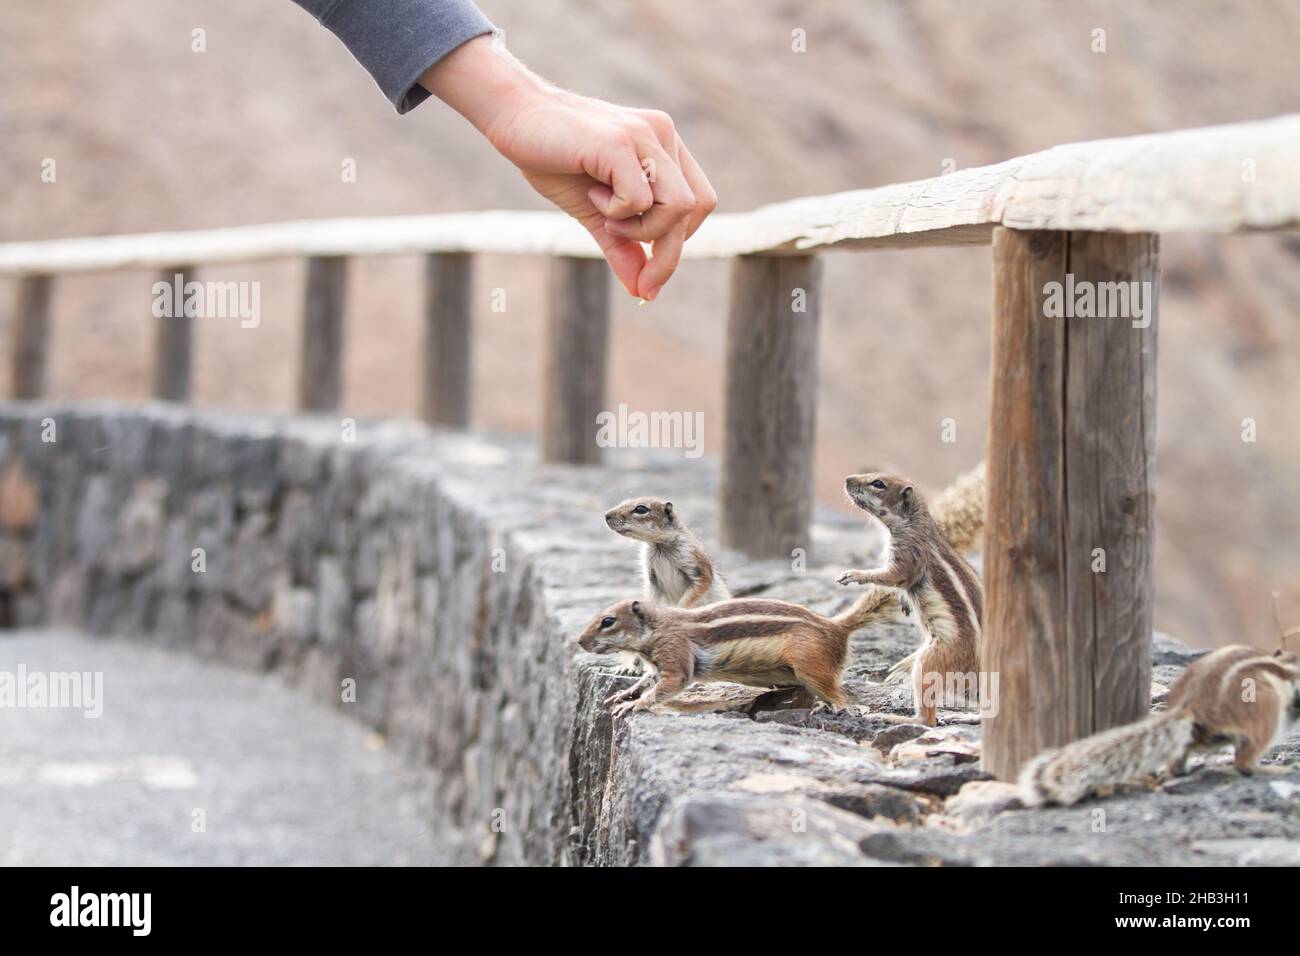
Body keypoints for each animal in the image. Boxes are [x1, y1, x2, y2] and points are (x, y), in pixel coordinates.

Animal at [579, 590, 894, 717]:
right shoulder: (658, 664)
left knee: (835, 691)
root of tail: (836, 627)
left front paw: (635, 705)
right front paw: (624, 693)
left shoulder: (676, 653)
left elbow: (666, 685)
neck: (659, 626)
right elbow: (647, 680)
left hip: (810, 665)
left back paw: (838, 707)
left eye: (608, 621)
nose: (580, 642)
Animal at [600, 502, 728, 606]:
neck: (659, 545)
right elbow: (652, 596)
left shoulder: (692, 558)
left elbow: (699, 586)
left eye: (641, 509)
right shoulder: (651, 576)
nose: (606, 515)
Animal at [837, 470, 977, 723]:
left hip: (931, 659)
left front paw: (854, 574)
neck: (915, 520)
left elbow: (892, 577)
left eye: (878, 483)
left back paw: (895, 718)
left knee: (928, 720)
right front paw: (904, 603)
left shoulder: (907, 553)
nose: (847, 479)